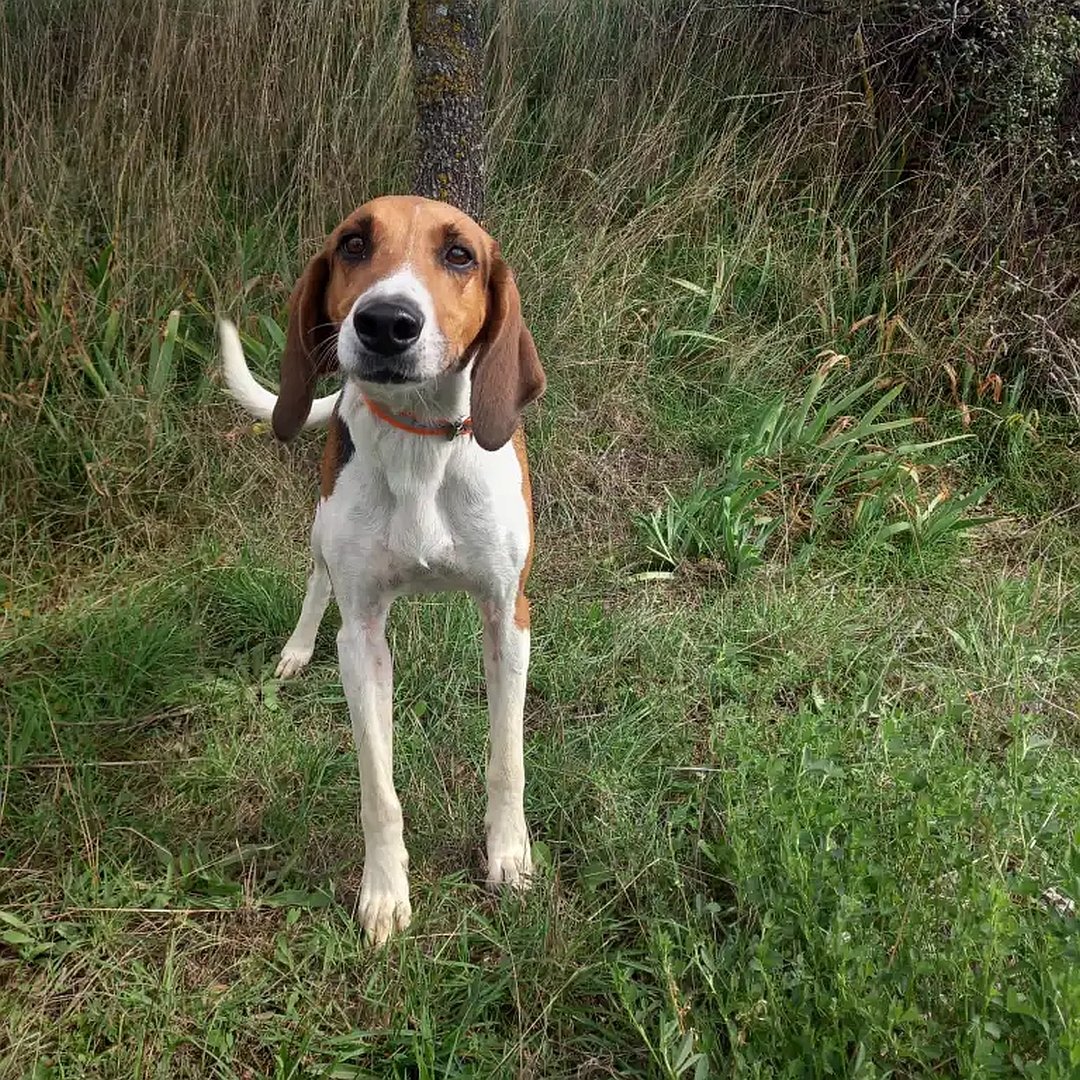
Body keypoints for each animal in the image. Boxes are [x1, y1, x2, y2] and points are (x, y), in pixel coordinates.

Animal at [218, 198, 544, 941]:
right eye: (353, 244)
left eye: (459, 255)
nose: (386, 322)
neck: (419, 442)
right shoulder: (361, 638)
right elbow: (378, 788)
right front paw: (385, 890)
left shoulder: (508, 616)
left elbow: (507, 760)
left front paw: (509, 856)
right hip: (321, 530)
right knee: (316, 584)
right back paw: (295, 649)